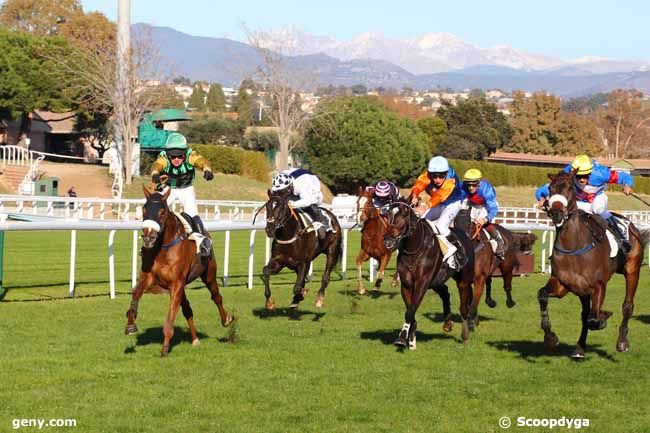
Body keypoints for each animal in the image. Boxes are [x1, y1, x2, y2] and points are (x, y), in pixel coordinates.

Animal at [123, 187, 232, 356]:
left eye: (162, 212)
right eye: (144, 209)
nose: (148, 238)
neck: (163, 248)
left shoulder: (176, 284)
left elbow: (170, 318)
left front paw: (164, 349)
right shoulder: (150, 278)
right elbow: (135, 293)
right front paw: (130, 324)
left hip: (208, 275)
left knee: (216, 297)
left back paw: (226, 319)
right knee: (187, 309)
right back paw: (195, 339)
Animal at [382, 198, 474, 348]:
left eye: (403, 216)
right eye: (388, 215)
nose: (388, 239)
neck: (414, 248)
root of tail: (465, 234)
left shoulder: (422, 282)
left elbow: (410, 311)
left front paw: (402, 337)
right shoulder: (406, 284)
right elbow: (411, 309)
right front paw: (411, 338)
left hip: (463, 280)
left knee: (463, 307)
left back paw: (465, 335)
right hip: (437, 281)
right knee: (445, 293)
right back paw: (447, 323)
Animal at [536, 171, 648, 358]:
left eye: (569, 188)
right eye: (550, 189)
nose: (557, 214)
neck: (574, 247)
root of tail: (632, 225)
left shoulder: (599, 286)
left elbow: (594, 319)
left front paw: (603, 317)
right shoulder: (563, 284)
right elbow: (542, 295)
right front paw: (550, 338)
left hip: (632, 269)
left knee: (627, 306)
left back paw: (622, 342)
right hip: (582, 291)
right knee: (585, 314)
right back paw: (580, 348)